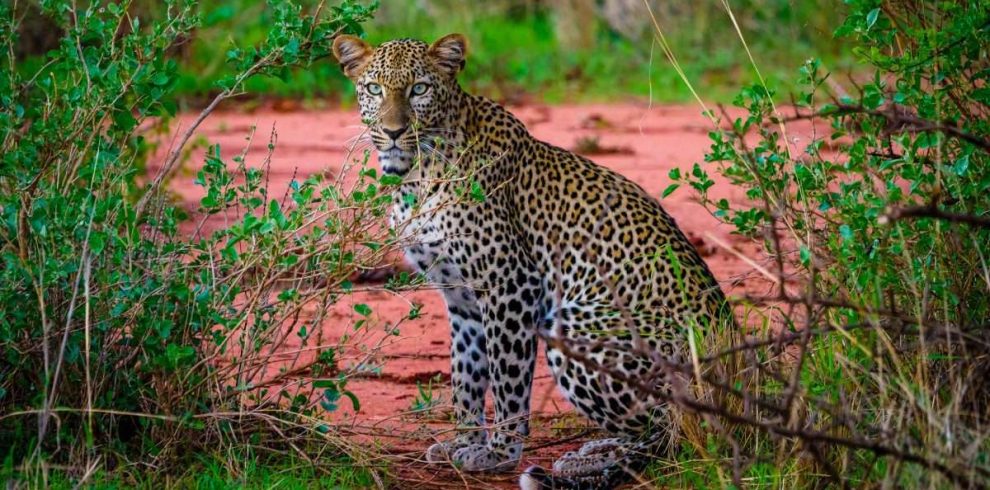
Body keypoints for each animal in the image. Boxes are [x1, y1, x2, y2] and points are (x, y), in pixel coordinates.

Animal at [332, 33, 733, 489]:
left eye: (419, 89)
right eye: (374, 89)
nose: (395, 131)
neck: (416, 176)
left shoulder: (511, 283)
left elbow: (507, 376)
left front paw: (499, 452)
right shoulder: (461, 298)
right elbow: (466, 375)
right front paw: (462, 443)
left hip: (578, 328)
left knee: (670, 432)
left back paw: (588, 462)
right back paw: (593, 452)